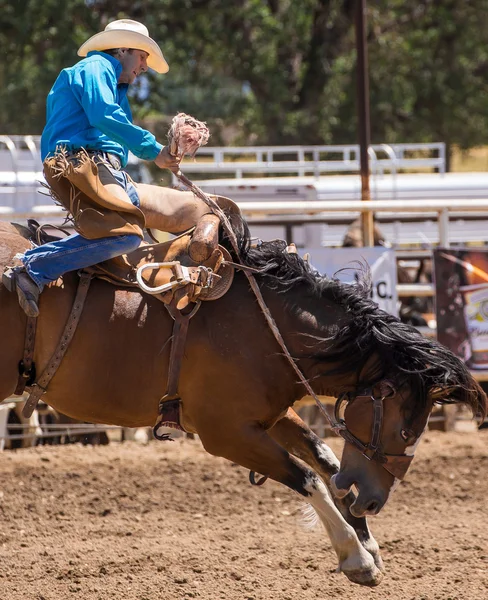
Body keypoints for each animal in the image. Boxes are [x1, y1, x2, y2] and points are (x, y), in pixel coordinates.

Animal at [0, 217, 484, 584]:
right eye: (407, 427)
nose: (372, 501)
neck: (267, 328)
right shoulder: (227, 433)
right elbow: (308, 476)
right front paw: (356, 555)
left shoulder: (271, 415)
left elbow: (326, 459)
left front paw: (367, 540)